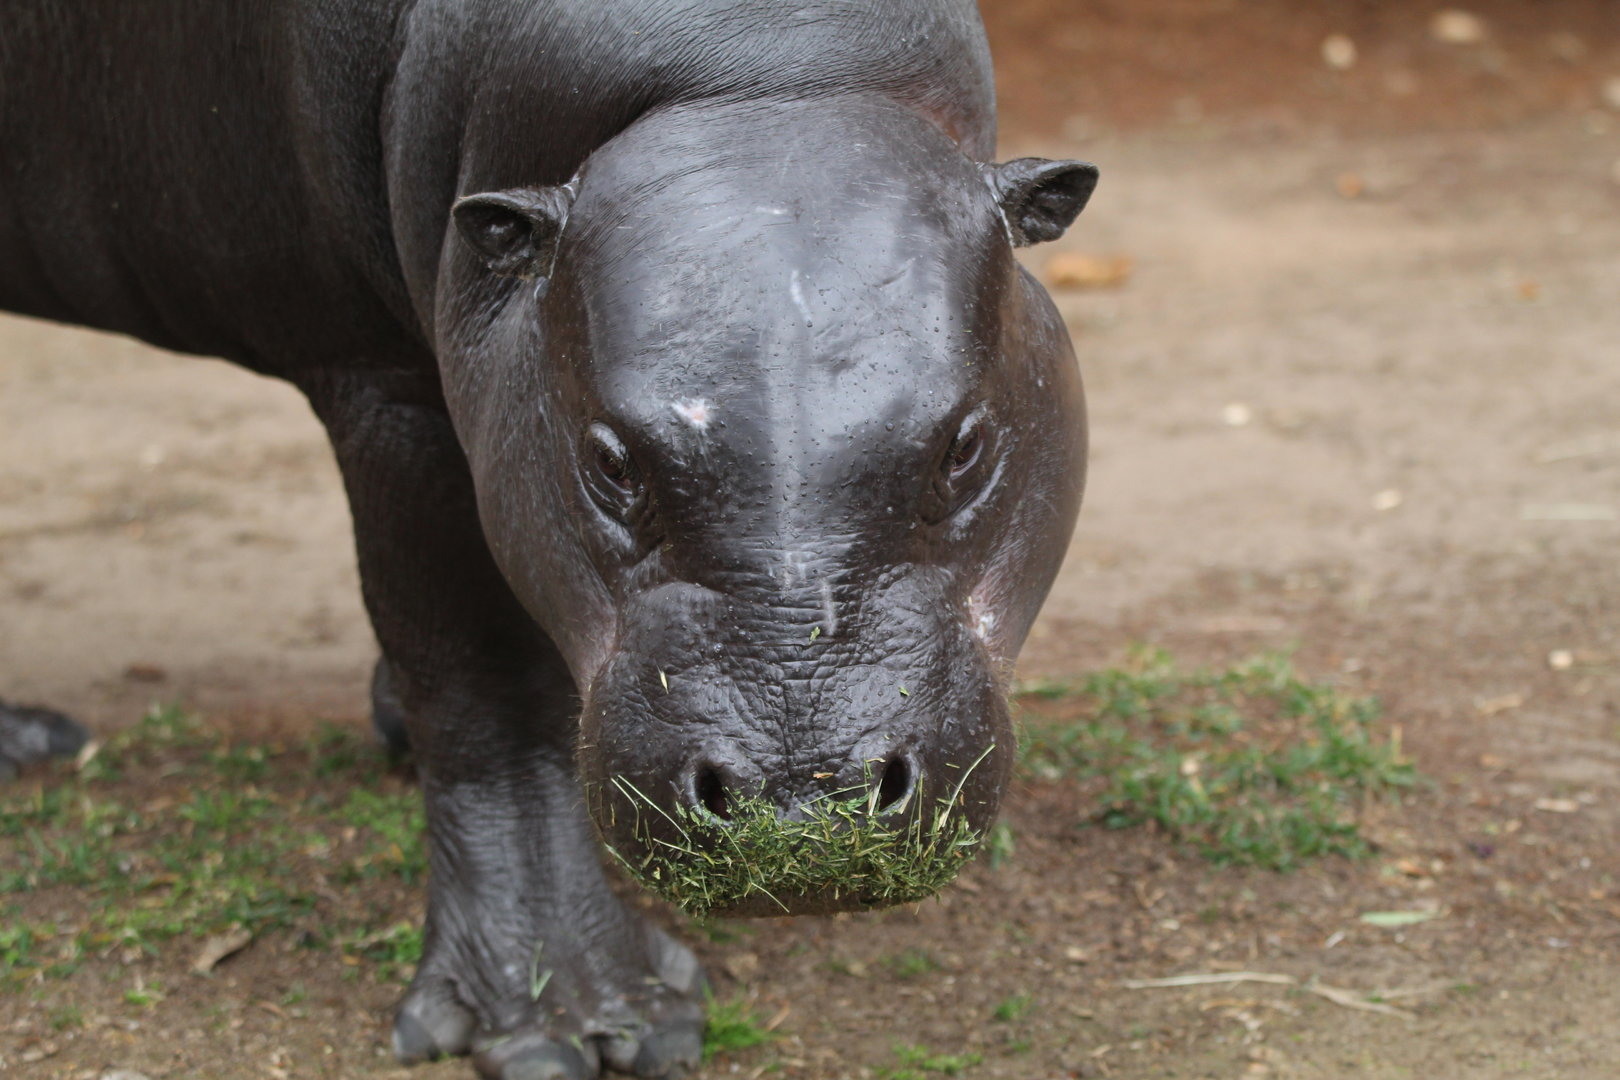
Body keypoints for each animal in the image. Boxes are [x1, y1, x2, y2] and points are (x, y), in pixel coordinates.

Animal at [0, 1, 1097, 1076]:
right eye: (610, 461)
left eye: (965, 445)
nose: (799, 811)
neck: (761, 78)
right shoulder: (393, 386)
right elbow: (483, 689)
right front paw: (581, 1024)